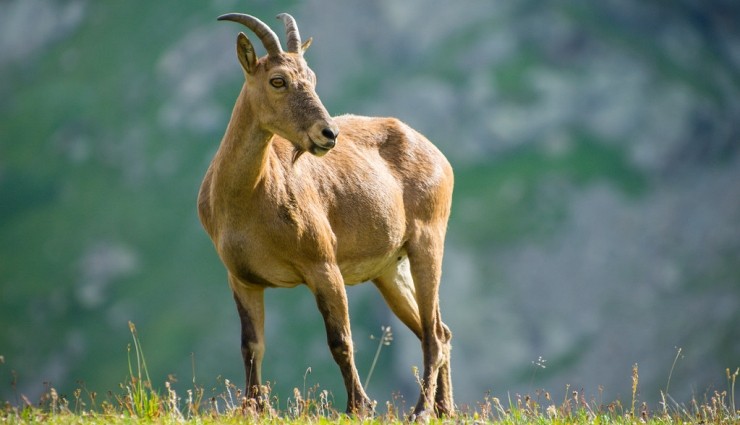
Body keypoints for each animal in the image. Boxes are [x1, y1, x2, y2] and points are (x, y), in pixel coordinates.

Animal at [194, 12, 454, 418]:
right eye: (278, 80)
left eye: (313, 78)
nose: (328, 133)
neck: (247, 201)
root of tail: (437, 154)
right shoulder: (242, 278)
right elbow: (251, 345)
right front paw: (253, 408)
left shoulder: (323, 266)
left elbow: (340, 341)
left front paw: (359, 407)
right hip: (389, 271)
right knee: (440, 331)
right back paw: (444, 409)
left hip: (428, 242)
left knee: (432, 334)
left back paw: (422, 410)